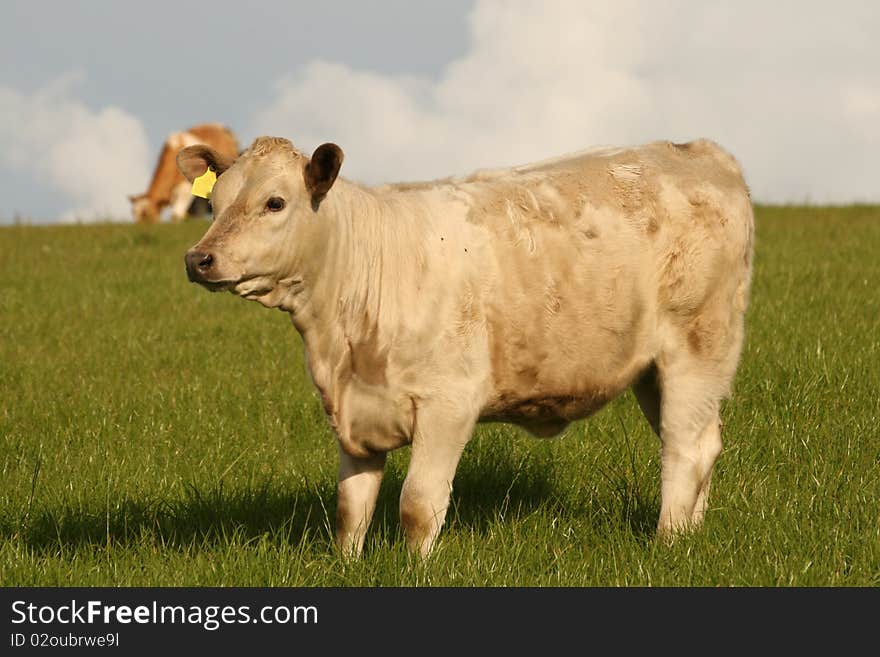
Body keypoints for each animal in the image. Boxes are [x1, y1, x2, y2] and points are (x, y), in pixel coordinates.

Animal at [175, 136, 752, 556]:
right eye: (214, 204)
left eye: (275, 202)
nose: (198, 259)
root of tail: (695, 150)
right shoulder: (352, 410)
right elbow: (350, 507)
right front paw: (346, 564)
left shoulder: (447, 402)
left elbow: (417, 503)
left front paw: (415, 568)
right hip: (652, 371)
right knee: (702, 442)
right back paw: (691, 534)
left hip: (698, 347)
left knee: (685, 448)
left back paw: (669, 543)